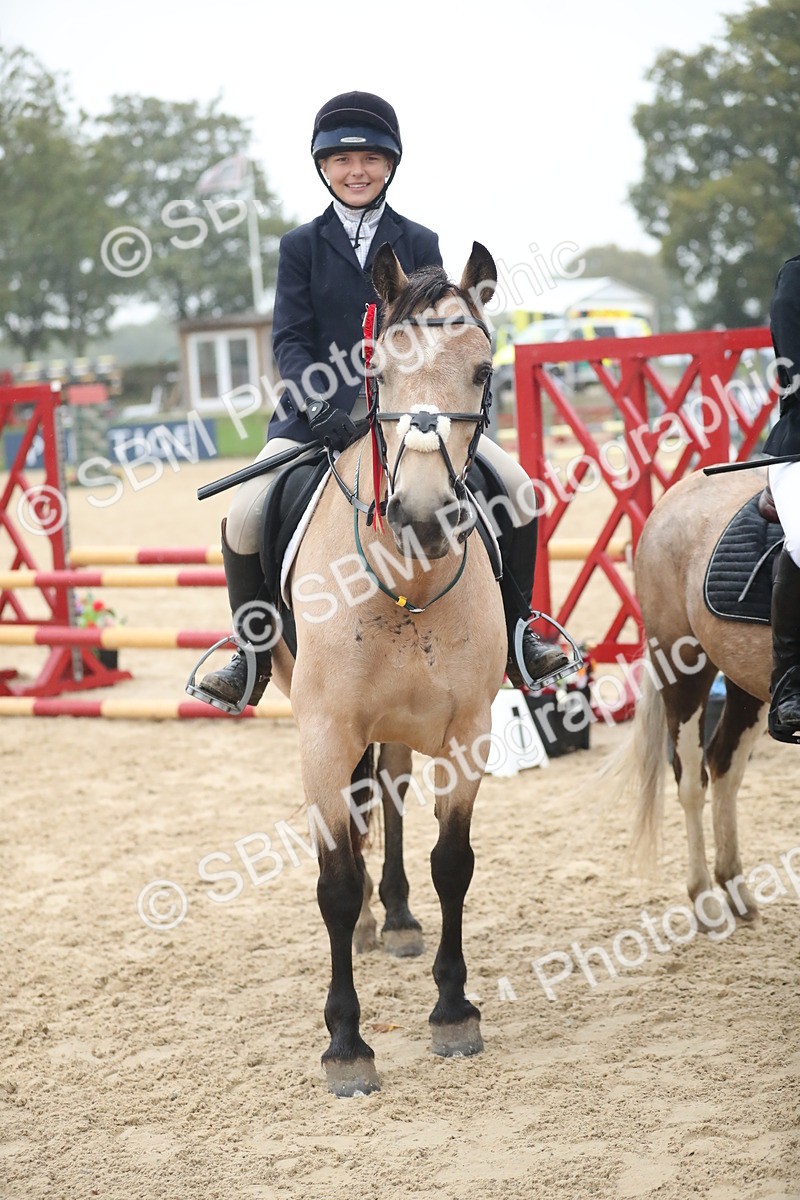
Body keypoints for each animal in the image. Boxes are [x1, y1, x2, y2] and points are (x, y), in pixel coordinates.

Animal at [269, 242, 508, 1095]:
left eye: (482, 370)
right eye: (378, 365)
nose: (425, 515)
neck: (406, 578)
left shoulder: (468, 732)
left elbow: (453, 863)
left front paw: (454, 1011)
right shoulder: (323, 735)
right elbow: (335, 884)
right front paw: (346, 1045)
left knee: (395, 797)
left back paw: (398, 917)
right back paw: (377, 918)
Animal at [604, 465, 775, 927]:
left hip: (748, 685)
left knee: (724, 767)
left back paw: (735, 890)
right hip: (685, 675)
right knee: (692, 781)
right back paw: (705, 901)